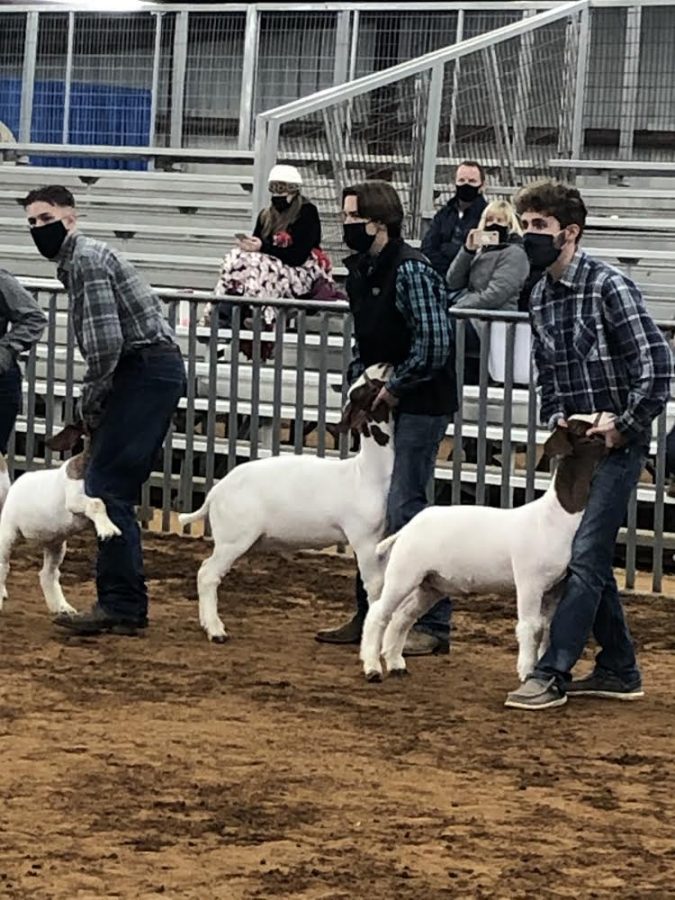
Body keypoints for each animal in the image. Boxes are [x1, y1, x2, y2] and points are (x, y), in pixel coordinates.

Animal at [180, 362, 396, 644]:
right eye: (361, 390)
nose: (383, 364)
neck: (367, 473)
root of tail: (215, 493)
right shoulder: (365, 539)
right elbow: (376, 587)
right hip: (233, 537)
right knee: (207, 575)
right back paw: (216, 631)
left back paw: (208, 624)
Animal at [362, 416, 608, 684]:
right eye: (582, 430)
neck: (555, 517)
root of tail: (407, 529)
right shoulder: (529, 582)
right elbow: (530, 627)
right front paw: (526, 672)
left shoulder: (555, 588)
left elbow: (547, 630)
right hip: (404, 573)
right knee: (378, 614)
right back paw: (372, 668)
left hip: (432, 584)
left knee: (402, 617)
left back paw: (396, 665)